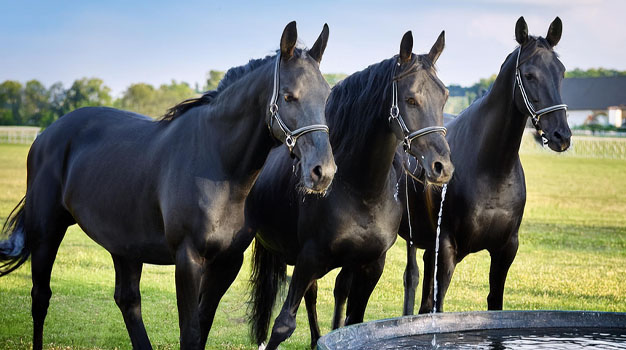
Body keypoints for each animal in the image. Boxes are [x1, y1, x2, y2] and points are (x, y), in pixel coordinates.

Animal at [0, 22, 336, 350]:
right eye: (289, 96)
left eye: (326, 97)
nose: (323, 171)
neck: (218, 162)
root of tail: (46, 135)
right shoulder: (187, 259)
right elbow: (190, 333)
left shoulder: (228, 263)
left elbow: (202, 327)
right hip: (47, 232)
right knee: (41, 298)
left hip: (124, 245)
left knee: (128, 302)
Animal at [241, 30, 450, 350]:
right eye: (411, 99)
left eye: (444, 97)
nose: (442, 167)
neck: (360, 192)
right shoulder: (309, 259)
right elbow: (283, 324)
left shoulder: (371, 265)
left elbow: (354, 322)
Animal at [394, 16, 572, 316]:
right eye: (529, 75)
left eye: (561, 72)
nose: (562, 135)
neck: (491, 171)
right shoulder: (446, 250)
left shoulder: (505, 250)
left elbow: (494, 303)